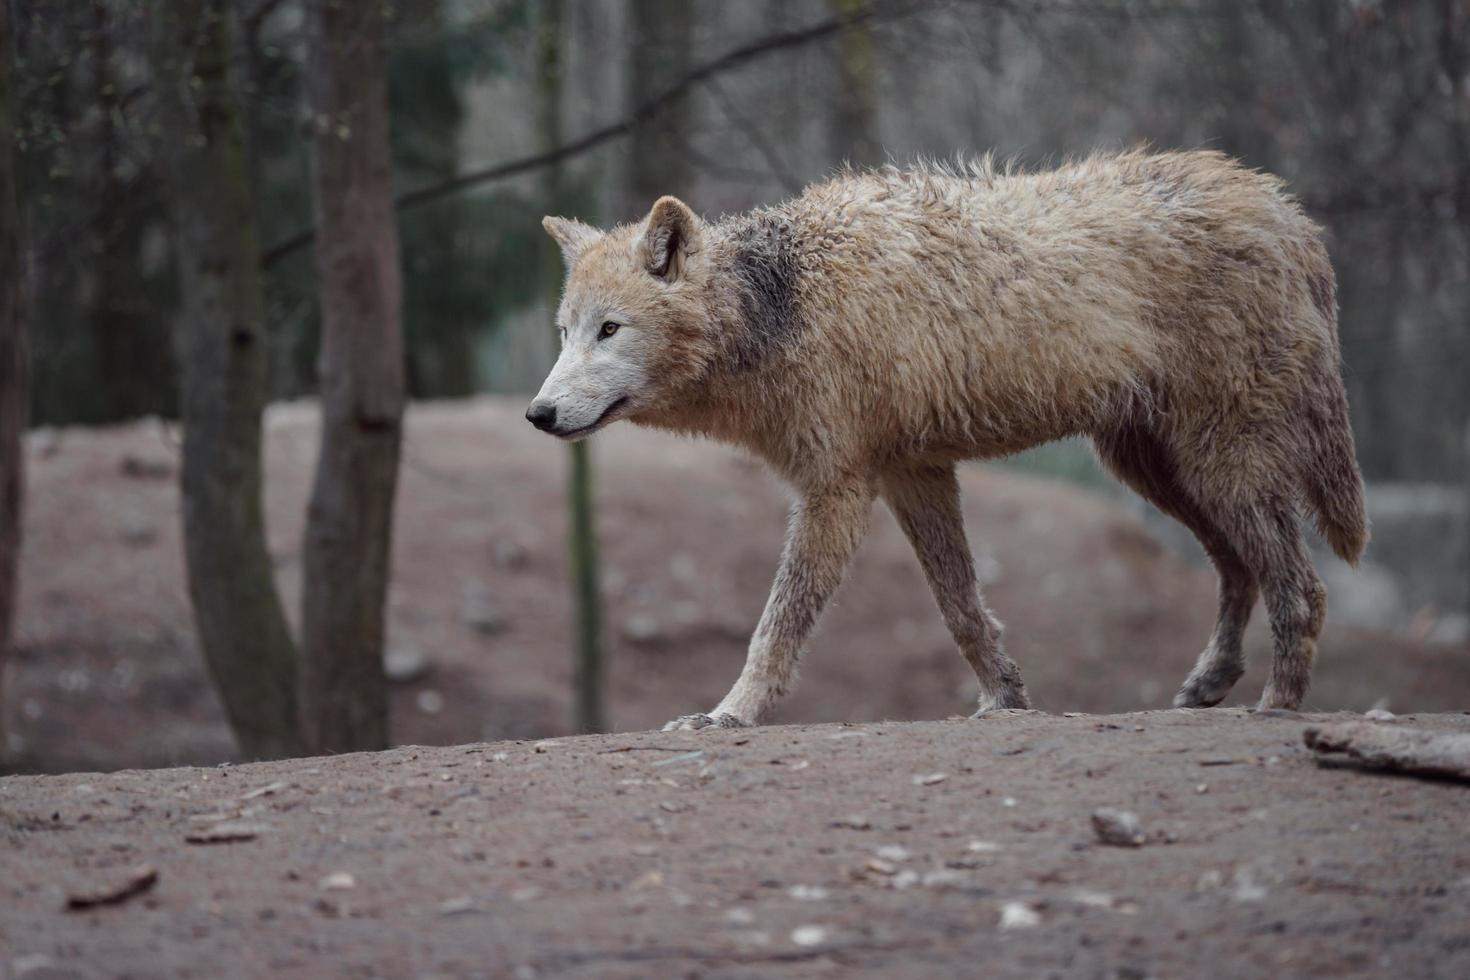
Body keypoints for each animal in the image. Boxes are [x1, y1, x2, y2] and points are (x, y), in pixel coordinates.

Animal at [535, 151, 1370, 728]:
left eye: (610, 330)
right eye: (565, 333)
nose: (538, 414)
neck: (787, 302)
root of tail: (1289, 214)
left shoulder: (837, 491)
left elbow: (776, 625)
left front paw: (728, 714)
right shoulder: (916, 475)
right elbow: (962, 608)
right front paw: (1004, 700)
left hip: (1218, 466)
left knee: (1302, 586)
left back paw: (1279, 705)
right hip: (1160, 473)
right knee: (1239, 570)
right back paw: (1209, 685)